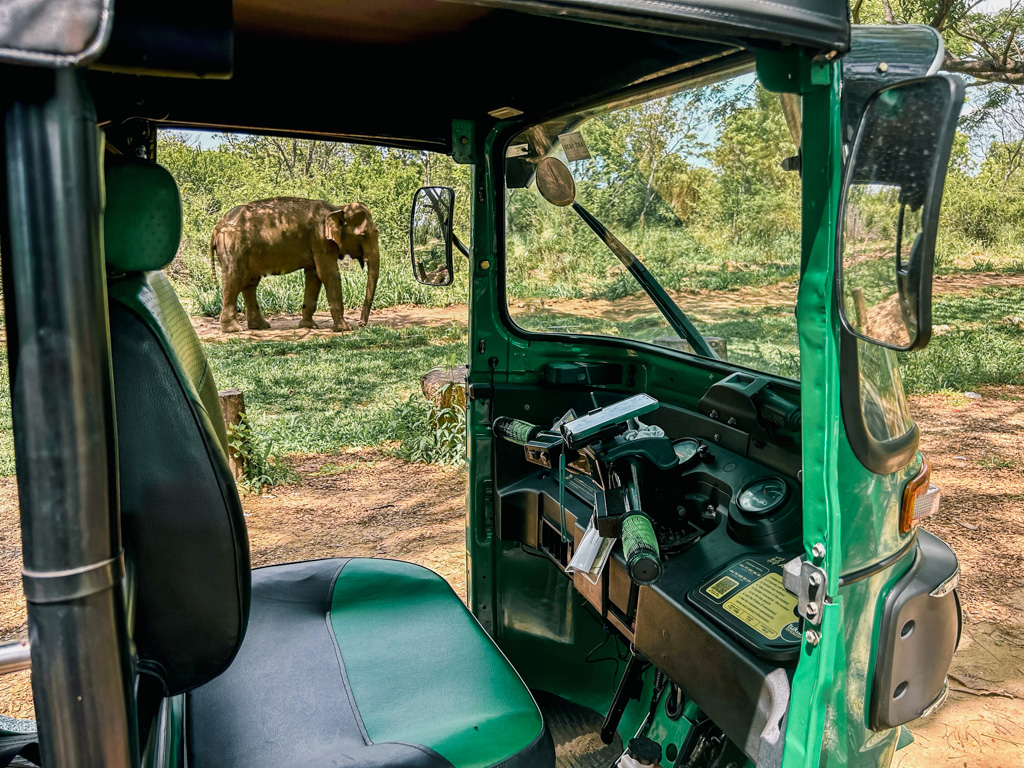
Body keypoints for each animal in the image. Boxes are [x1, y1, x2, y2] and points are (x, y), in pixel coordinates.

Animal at [210, 197, 380, 333]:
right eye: (363, 235)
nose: (361, 324)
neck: (336, 209)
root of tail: (216, 228)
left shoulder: (316, 244)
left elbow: (314, 275)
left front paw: (308, 326)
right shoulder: (320, 240)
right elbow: (329, 274)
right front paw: (344, 329)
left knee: (250, 283)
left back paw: (260, 326)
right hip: (233, 248)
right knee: (234, 279)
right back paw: (233, 329)